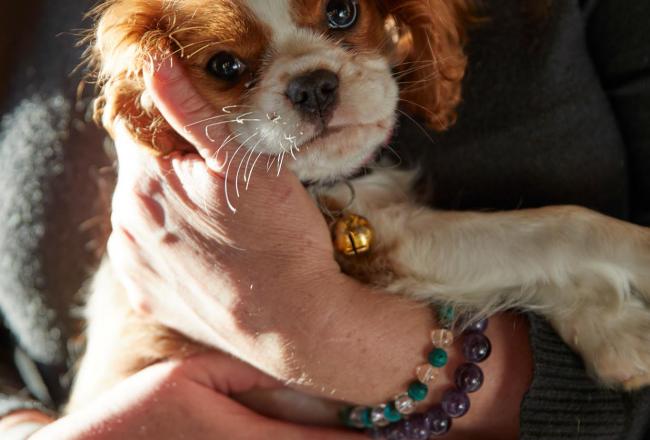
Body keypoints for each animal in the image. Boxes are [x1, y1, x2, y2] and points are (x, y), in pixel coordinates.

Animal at [68, 0, 648, 426]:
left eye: (343, 12)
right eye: (225, 66)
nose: (312, 85)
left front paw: (615, 335)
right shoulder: (387, 244)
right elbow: (557, 228)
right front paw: (633, 273)